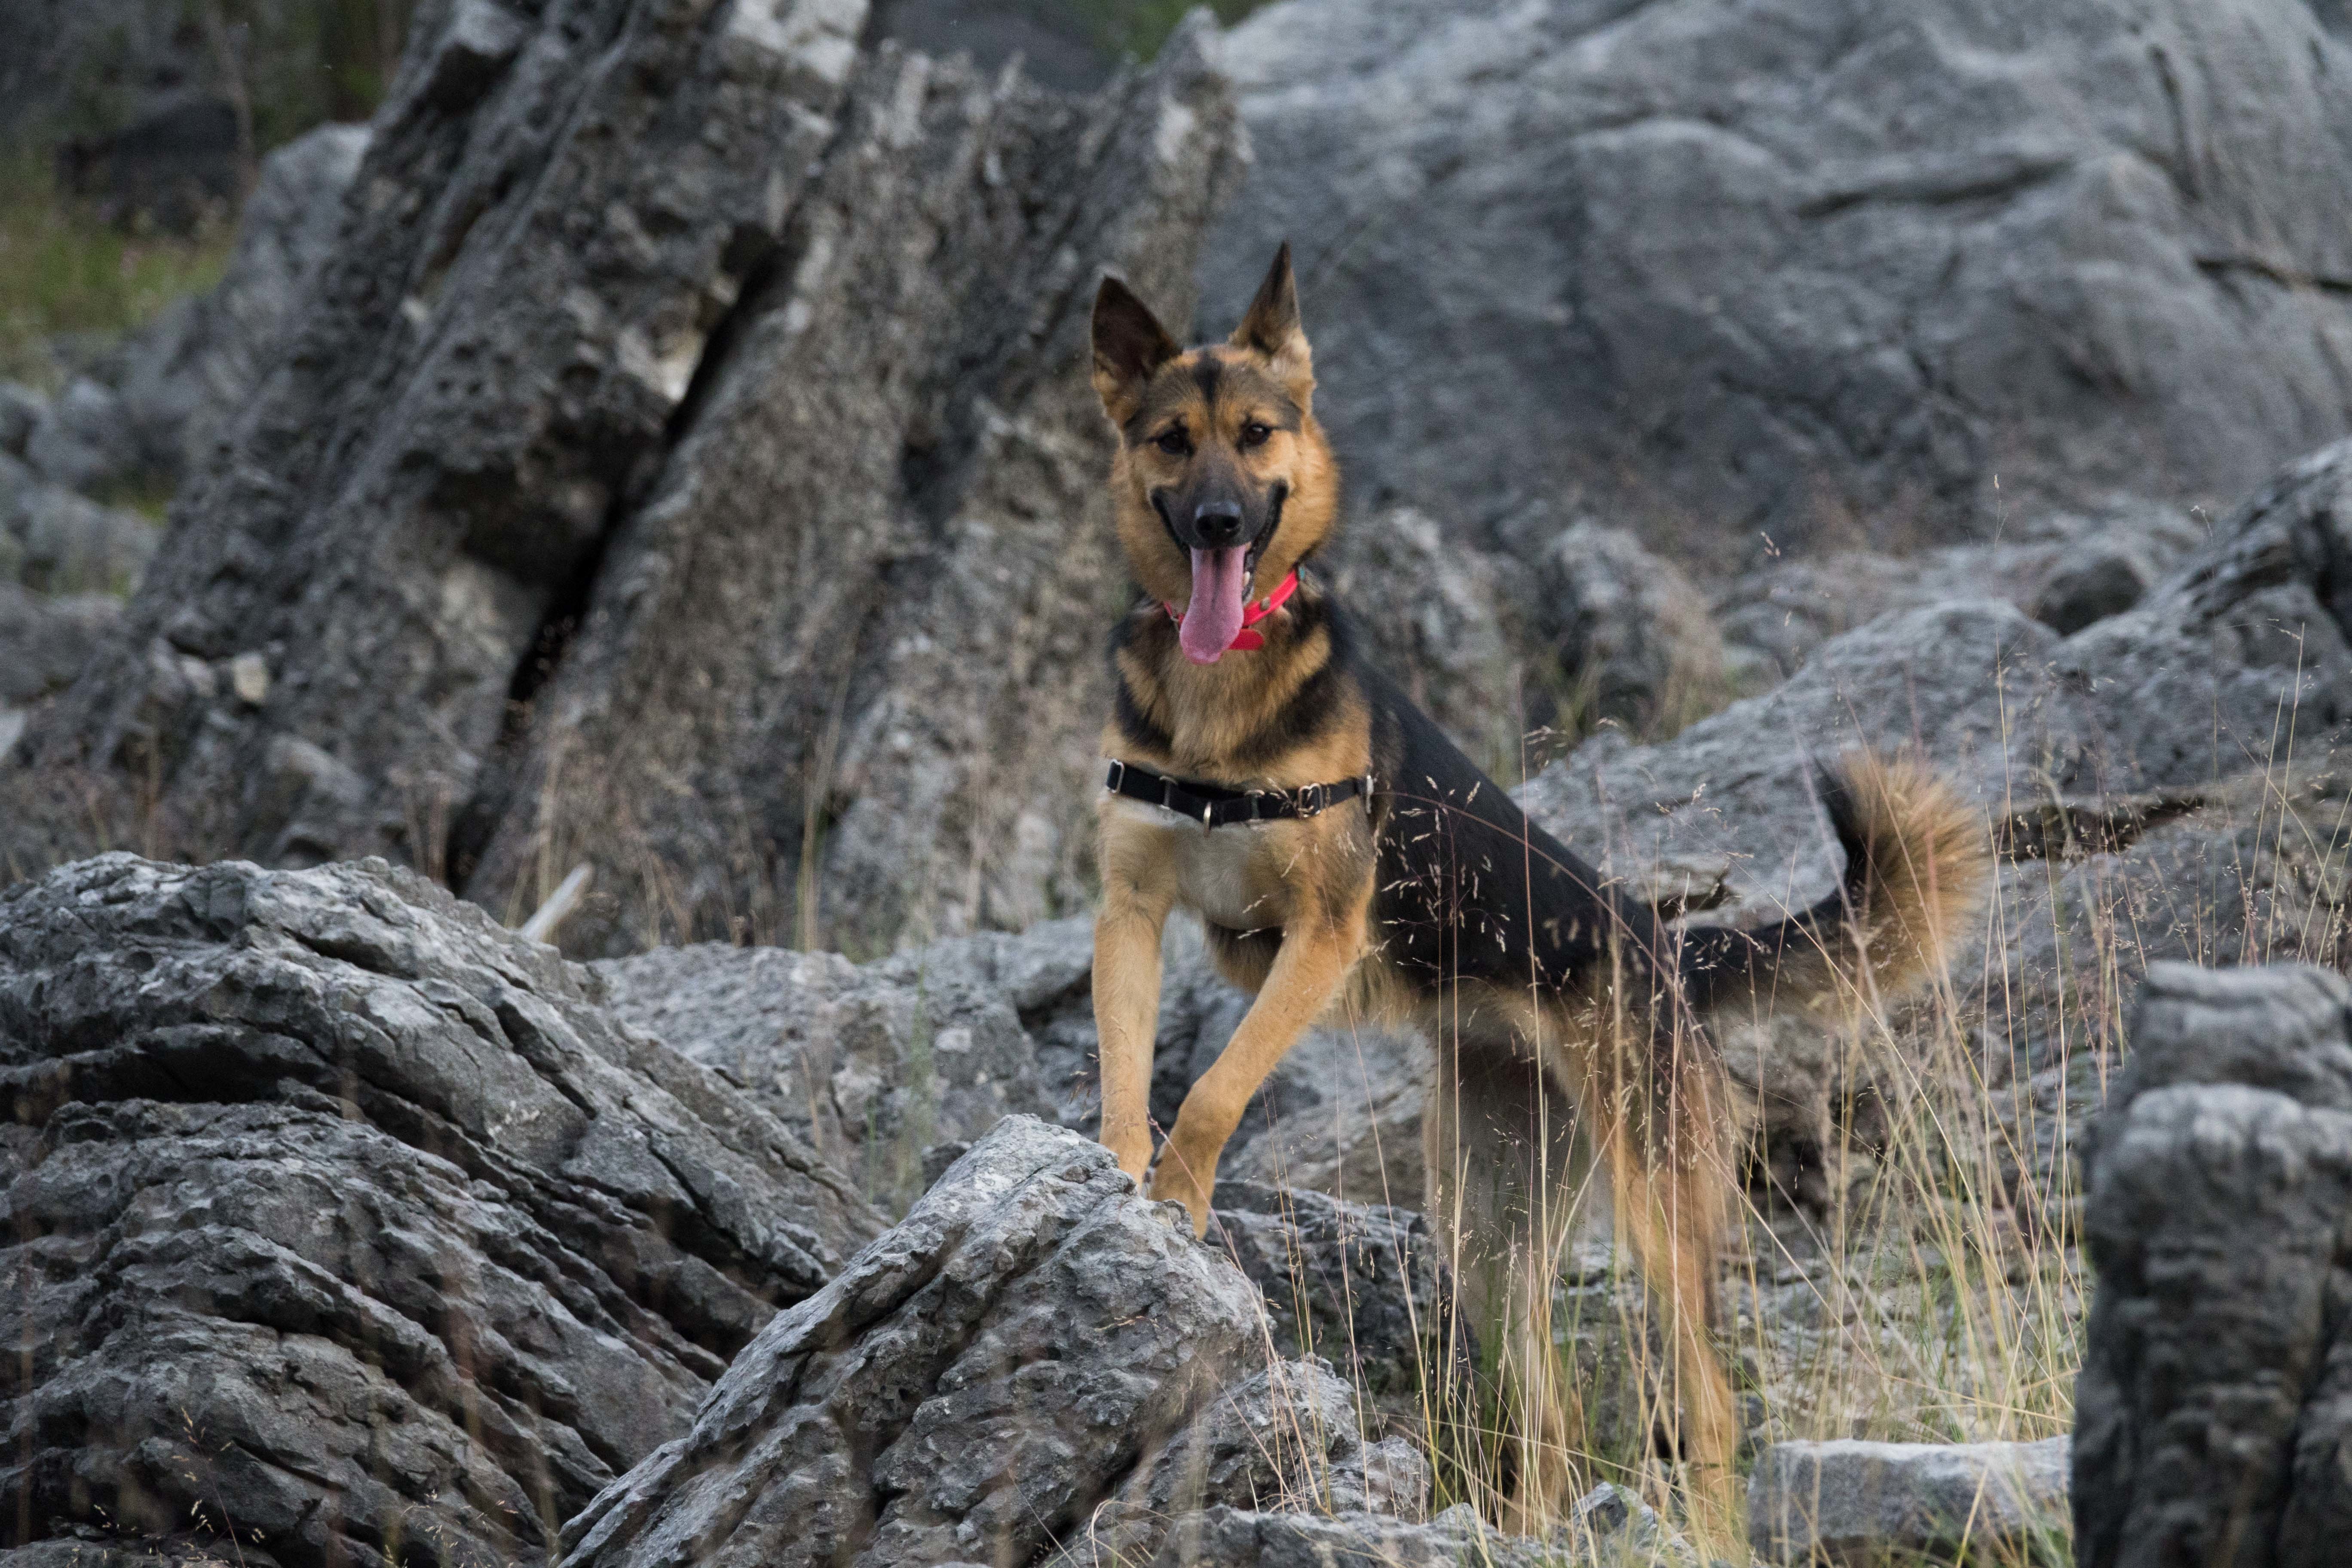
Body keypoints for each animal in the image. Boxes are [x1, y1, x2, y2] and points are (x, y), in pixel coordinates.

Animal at [1082, 251, 1985, 1523]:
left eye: (1256, 434)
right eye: (1171, 440)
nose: (1217, 522)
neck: (1224, 694)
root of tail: (1667, 946)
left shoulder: (1321, 935)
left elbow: (1212, 1091)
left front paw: (1178, 1195)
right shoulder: (1129, 909)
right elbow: (1124, 1069)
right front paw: (1119, 1178)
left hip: (1655, 1208)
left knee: (1708, 1408)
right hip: (1486, 1236)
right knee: (1548, 1420)